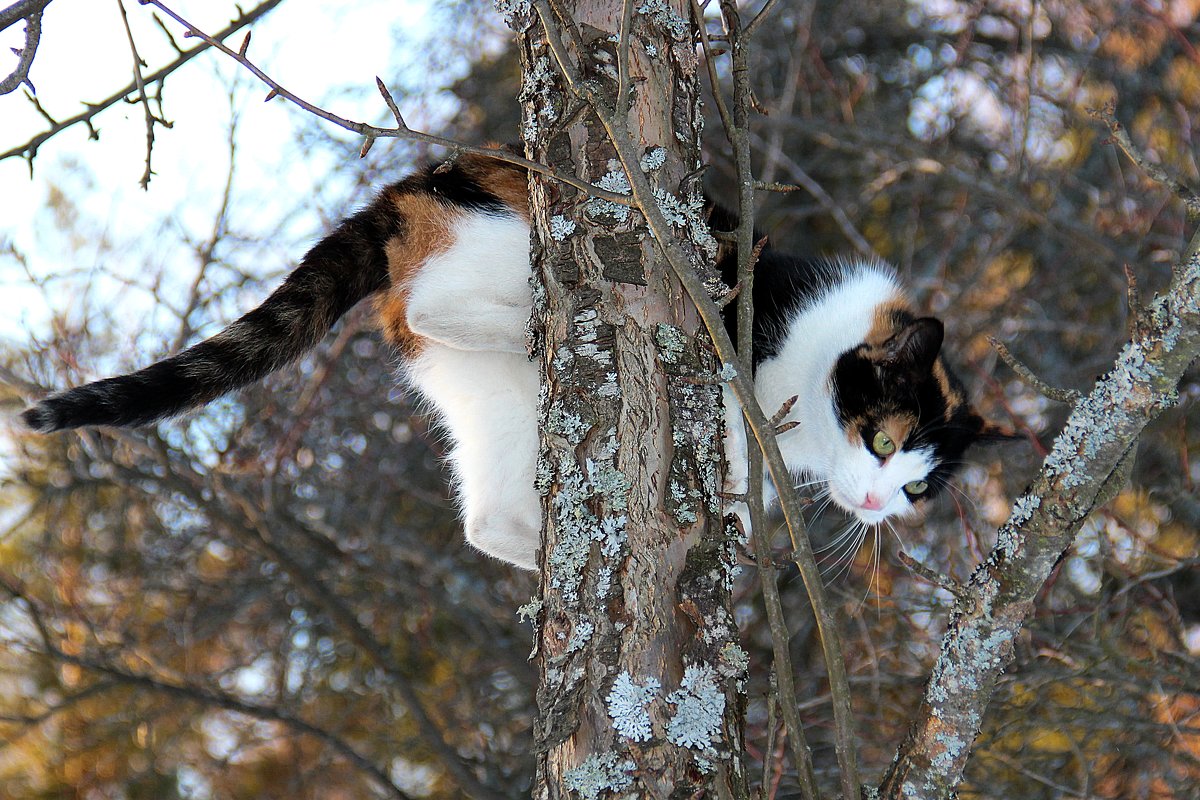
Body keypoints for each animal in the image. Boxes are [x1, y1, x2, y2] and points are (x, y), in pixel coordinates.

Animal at [23, 153, 1008, 573]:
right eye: (884, 441)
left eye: (920, 486)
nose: (879, 505)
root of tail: (405, 191)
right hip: (511, 240)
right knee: (432, 305)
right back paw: (540, 330)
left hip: (486, 414)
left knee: (483, 518)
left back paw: (556, 546)